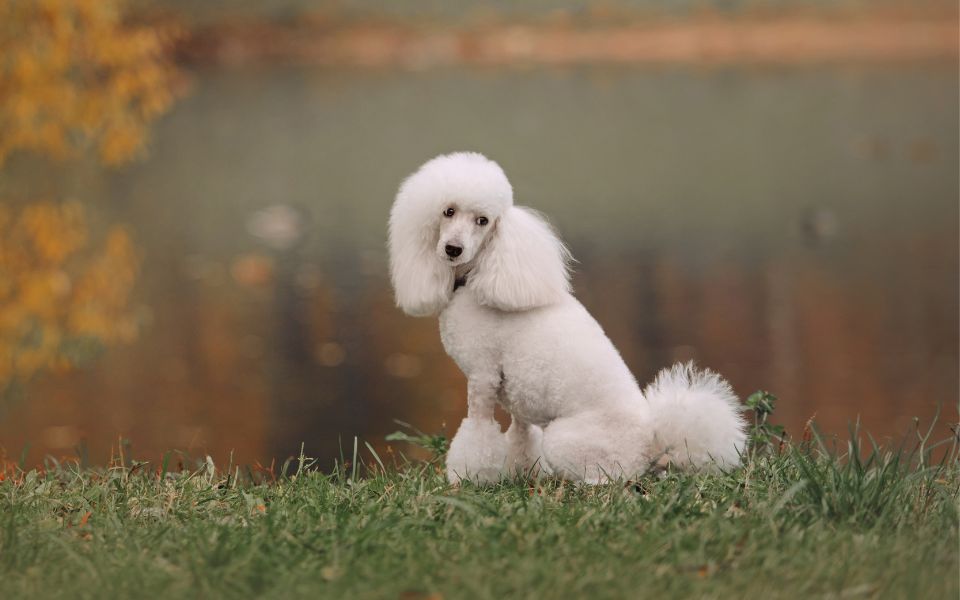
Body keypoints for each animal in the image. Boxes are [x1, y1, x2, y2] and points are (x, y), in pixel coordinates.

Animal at [388, 152, 746, 484]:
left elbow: (478, 433)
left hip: (564, 439)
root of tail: (652, 442)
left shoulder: (482, 375)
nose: (453, 249)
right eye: (448, 211)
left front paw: (467, 478)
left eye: (483, 220)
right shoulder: (517, 396)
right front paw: (521, 473)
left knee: (608, 479)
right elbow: (521, 436)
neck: (482, 274)